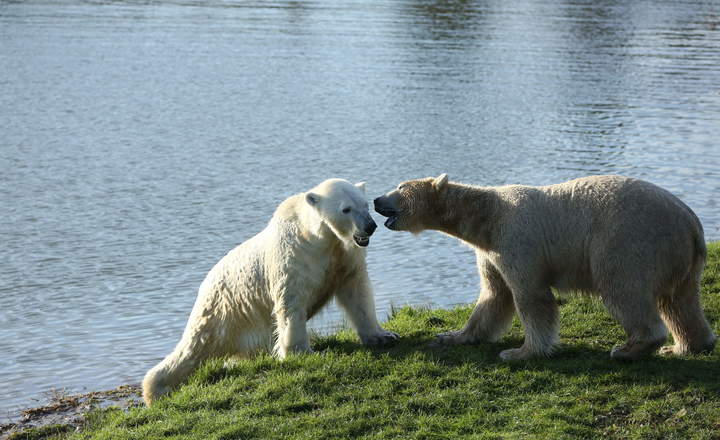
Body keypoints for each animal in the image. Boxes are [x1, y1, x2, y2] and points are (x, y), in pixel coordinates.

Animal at [142, 179, 400, 406]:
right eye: (346, 209)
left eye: (365, 204)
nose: (370, 226)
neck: (321, 239)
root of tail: (205, 284)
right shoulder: (295, 257)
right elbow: (291, 302)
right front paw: (300, 352)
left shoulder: (345, 256)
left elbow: (357, 293)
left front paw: (384, 336)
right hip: (223, 310)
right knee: (195, 347)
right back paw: (155, 388)